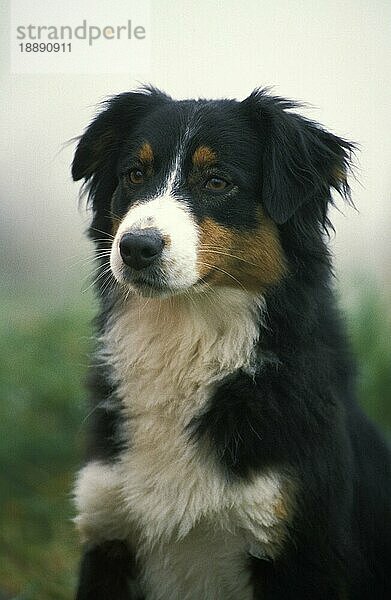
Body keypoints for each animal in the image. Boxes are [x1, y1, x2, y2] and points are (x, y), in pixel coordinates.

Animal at [71, 86, 391, 596]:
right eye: (134, 174)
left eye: (217, 182)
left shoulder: (298, 545)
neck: (186, 337)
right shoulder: (108, 533)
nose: (136, 247)